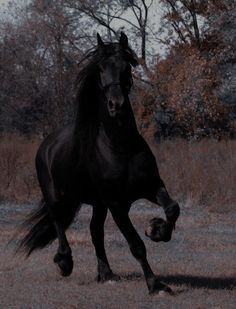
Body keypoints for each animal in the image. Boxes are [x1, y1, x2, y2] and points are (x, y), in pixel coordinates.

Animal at [18, 33, 181, 294]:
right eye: (101, 68)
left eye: (126, 67)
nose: (116, 105)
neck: (121, 146)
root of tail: (47, 144)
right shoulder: (116, 203)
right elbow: (136, 245)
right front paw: (155, 285)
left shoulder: (150, 187)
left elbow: (173, 208)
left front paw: (156, 229)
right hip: (57, 196)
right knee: (58, 221)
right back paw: (65, 262)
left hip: (97, 203)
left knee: (94, 231)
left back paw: (106, 273)